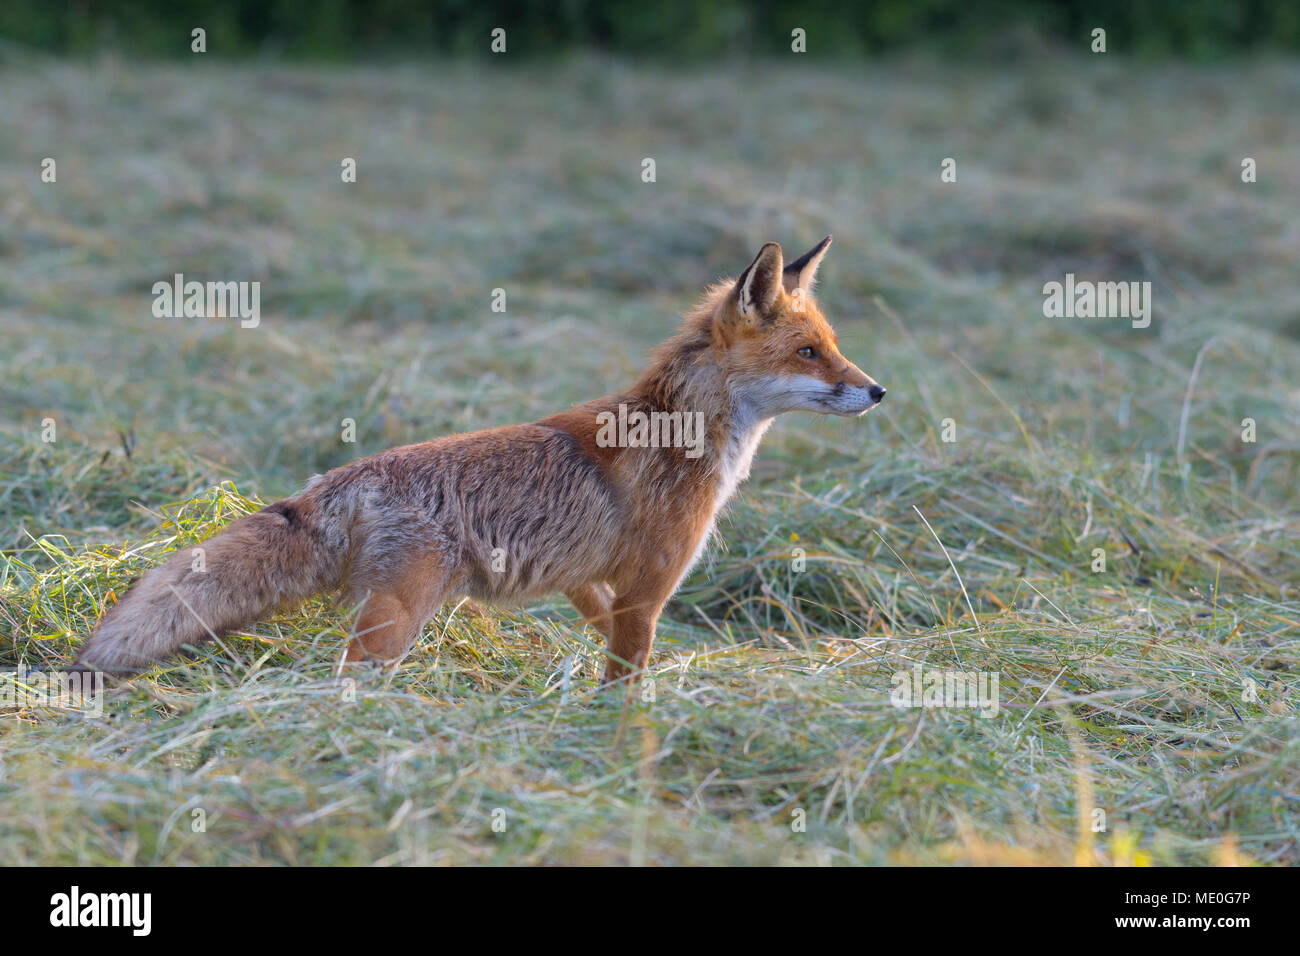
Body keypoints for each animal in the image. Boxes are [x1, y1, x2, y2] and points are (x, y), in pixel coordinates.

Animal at [73, 240, 883, 686]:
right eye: (808, 353)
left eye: (833, 346)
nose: (878, 390)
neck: (682, 432)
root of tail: (345, 478)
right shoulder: (647, 592)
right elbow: (624, 680)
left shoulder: (589, 583)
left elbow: (607, 643)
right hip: (393, 622)